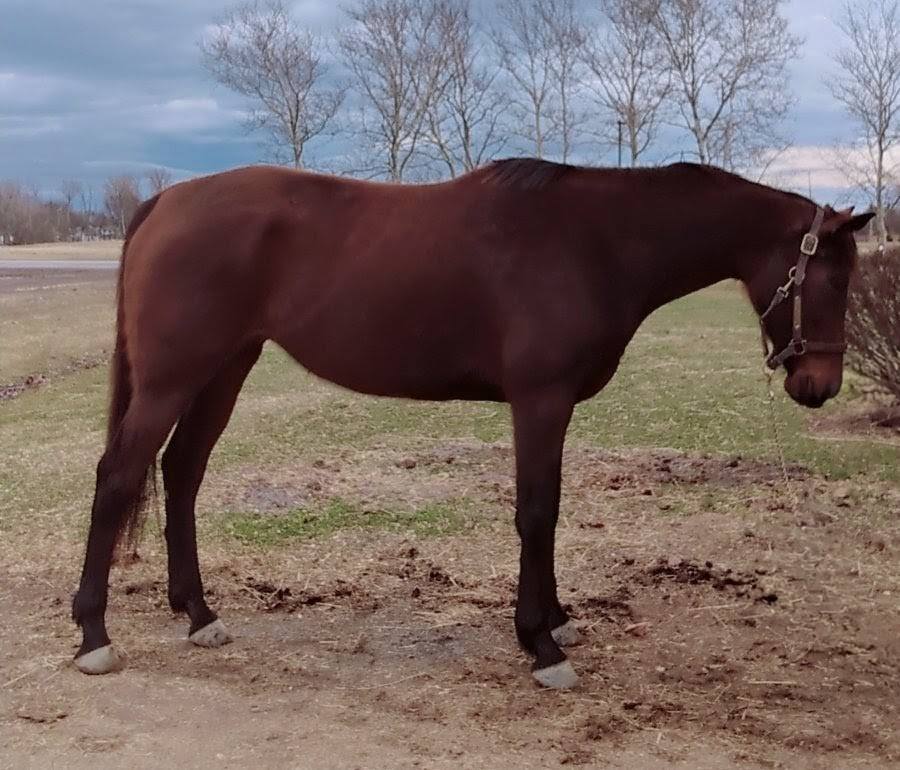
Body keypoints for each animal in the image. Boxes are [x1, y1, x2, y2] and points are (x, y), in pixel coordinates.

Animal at [70, 158, 872, 688]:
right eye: (829, 279)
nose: (819, 386)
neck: (595, 241)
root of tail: (167, 201)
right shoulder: (540, 400)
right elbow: (537, 513)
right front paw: (542, 646)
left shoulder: (551, 406)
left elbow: (549, 511)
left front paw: (555, 619)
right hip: (174, 377)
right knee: (118, 477)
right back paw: (93, 635)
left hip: (225, 368)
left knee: (181, 473)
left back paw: (199, 615)